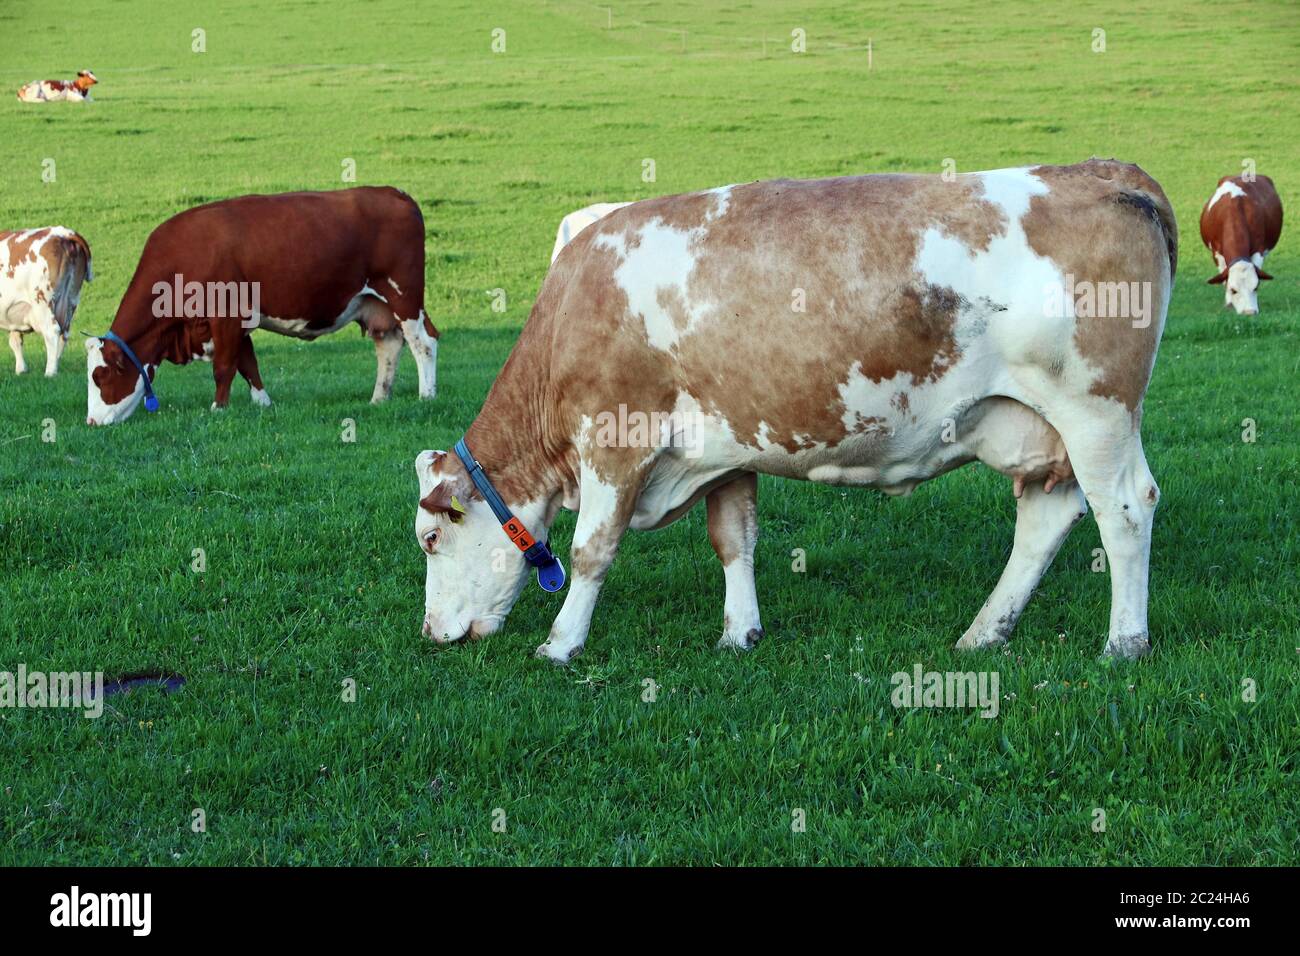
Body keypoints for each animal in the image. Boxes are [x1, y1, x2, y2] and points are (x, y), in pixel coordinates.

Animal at [1, 227, 93, 377]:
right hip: (71, 298)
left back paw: (50, 373)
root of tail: (63, 233)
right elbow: (15, 340)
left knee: (52, 331)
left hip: (42, 300)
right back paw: (55, 365)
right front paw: (21, 370)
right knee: (64, 333)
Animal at [85, 186, 440, 425]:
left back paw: (426, 395)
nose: (91, 422)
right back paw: (379, 398)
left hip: (404, 296)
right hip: (376, 305)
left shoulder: (226, 315)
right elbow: (248, 364)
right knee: (389, 345)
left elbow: (224, 367)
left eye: (101, 377)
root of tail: (394, 193)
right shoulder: (237, 322)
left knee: (424, 342)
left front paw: (218, 409)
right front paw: (263, 403)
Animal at [414, 159, 1177, 665]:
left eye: (430, 539)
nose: (429, 632)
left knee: (1125, 509)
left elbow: (591, 549)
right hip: (1046, 426)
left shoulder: (615, 437)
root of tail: (1106, 172)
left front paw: (561, 644)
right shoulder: (721, 449)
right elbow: (734, 538)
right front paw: (739, 633)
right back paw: (982, 632)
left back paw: (1123, 642)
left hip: (1095, 411)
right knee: (1046, 519)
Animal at [1199, 175, 1282, 315]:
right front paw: (1228, 303)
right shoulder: (1216, 253)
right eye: (1233, 290)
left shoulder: (1259, 250)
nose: (1249, 312)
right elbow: (1224, 277)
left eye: (1256, 287)